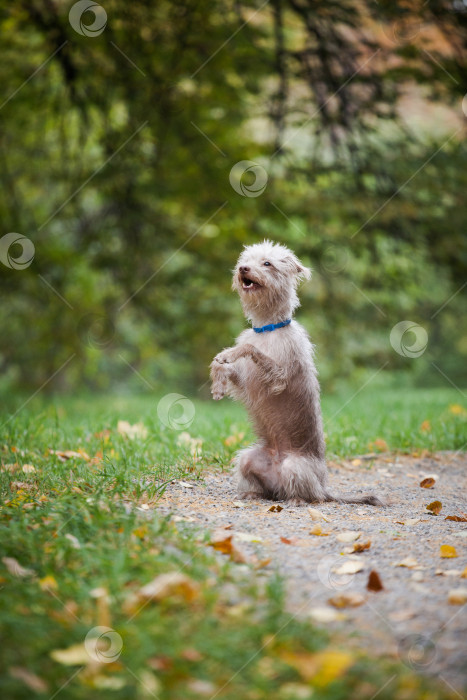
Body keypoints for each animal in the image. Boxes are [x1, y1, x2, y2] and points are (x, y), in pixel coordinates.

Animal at [210, 239, 386, 504]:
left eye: (267, 263)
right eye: (246, 260)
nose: (242, 269)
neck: (267, 329)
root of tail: (323, 486)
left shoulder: (279, 376)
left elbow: (249, 348)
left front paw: (231, 353)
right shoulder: (246, 382)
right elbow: (226, 369)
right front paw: (218, 382)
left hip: (294, 466)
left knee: (308, 495)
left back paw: (296, 499)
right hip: (248, 459)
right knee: (265, 486)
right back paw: (251, 494)